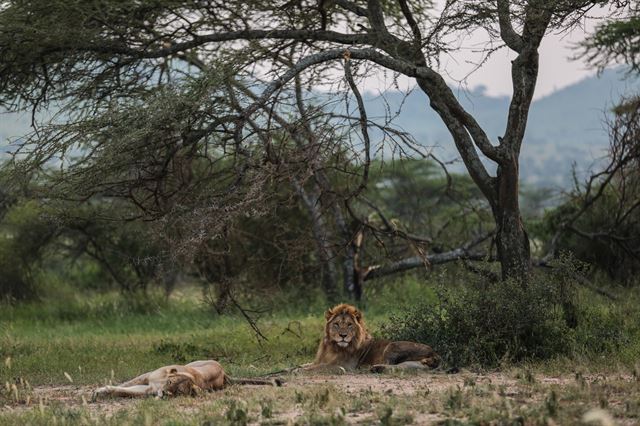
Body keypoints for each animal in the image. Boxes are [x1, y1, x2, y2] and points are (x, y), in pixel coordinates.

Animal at [310, 302, 440, 372]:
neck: (332, 347)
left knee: (391, 364)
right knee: (400, 367)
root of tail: (435, 353)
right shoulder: (320, 360)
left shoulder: (344, 366)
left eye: (349, 324)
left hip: (392, 346)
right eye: (336, 324)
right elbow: (311, 365)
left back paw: (373, 368)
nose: (343, 335)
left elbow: (315, 368)